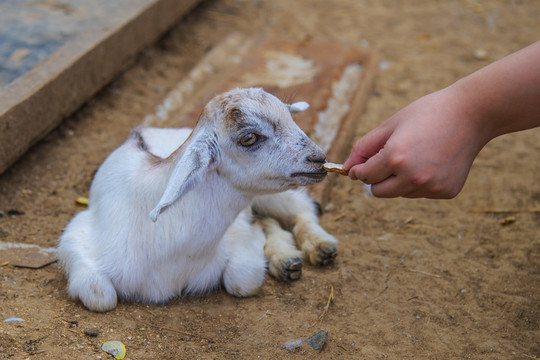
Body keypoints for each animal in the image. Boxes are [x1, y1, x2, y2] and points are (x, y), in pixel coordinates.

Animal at [59, 88, 338, 312]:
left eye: (290, 117)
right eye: (248, 138)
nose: (319, 159)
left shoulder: (237, 233)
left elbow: (243, 280)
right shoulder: (77, 241)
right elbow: (100, 296)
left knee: (301, 211)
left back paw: (319, 247)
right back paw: (288, 261)